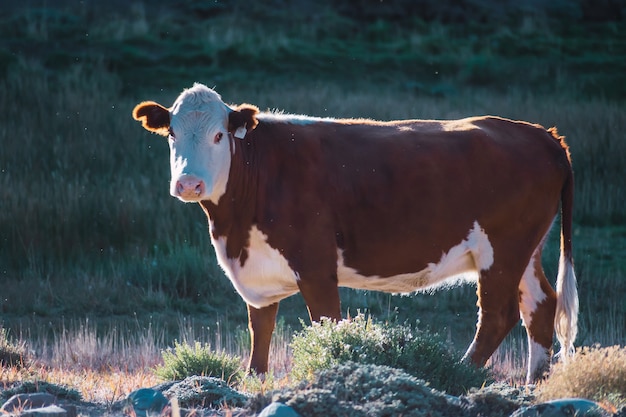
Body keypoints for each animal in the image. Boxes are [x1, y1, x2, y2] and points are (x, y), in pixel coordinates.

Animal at [132, 82, 576, 384]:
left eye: (219, 135)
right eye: (172, 134)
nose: (189, 183)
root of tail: (542, 133)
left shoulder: (316, 265)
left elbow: (327, 323)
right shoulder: (257, 269)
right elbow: (261, 330)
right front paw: (254, 381)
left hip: (502, 248)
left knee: (497, 316)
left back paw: (457, 374)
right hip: (526, 250)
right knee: (540, 306)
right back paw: (534, 384)